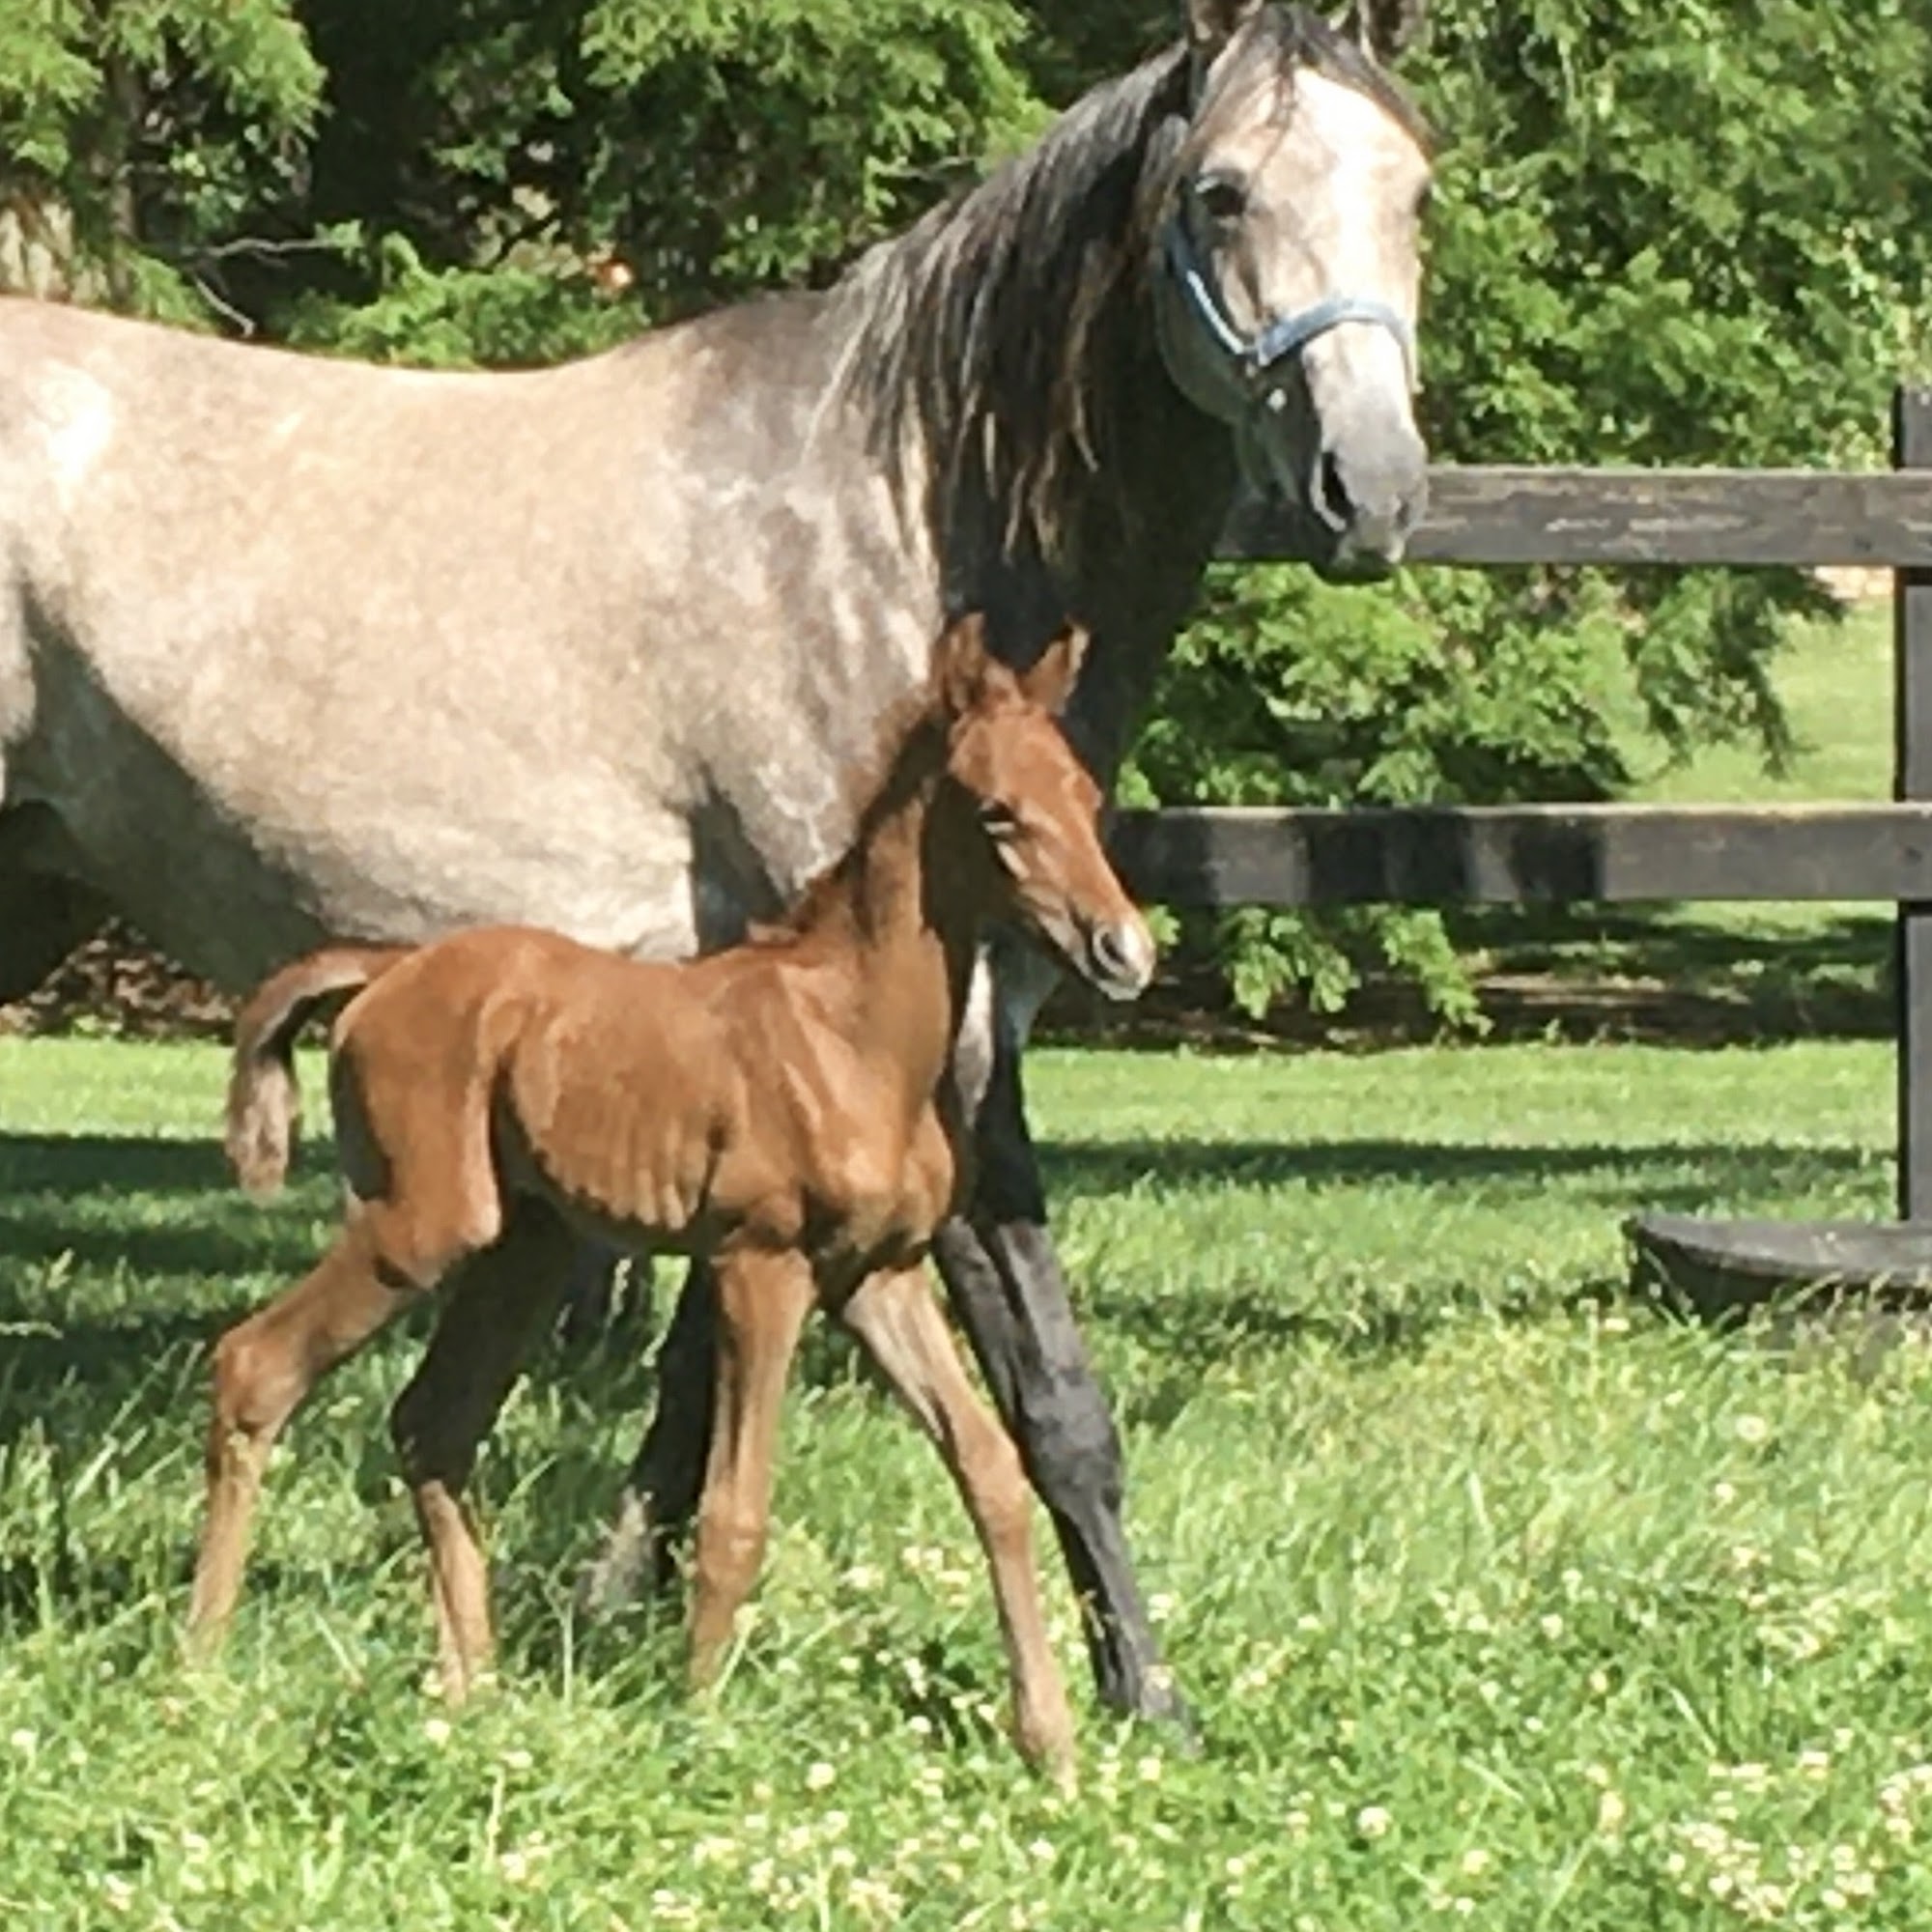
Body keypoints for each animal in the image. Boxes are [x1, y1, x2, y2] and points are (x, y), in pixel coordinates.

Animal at [186, 615, 1143, 1783]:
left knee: (434, 1420)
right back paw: (200, 1662)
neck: (855, 1034)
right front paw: (700, 1727)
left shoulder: (877, 1277)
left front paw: (1050, 1742)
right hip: (421, 1224)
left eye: (1086, 798)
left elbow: (992, 1469)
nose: (1123, 949)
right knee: (257, 1365)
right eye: (998, 812)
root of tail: (381, 974)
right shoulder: (759, 1265)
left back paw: (471, 1688)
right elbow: (735, 1509)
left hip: (525, 1244)